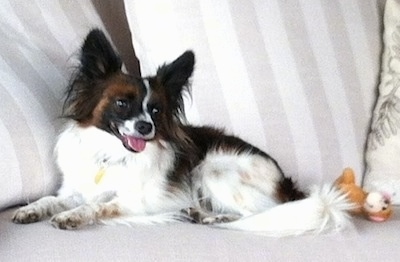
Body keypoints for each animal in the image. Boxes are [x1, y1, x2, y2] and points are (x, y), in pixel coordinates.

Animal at [10, 29, 352, 236]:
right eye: (121, 103)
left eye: (156, 111)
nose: (146, 127)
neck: (113, 155)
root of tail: (287, 185)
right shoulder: (73, 190)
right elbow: (52, 199)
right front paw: (31, 209)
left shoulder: (142, 200)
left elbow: (98, 204)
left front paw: (75, 216)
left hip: (210, 169)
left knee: (258, 213)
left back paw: (211, 217)